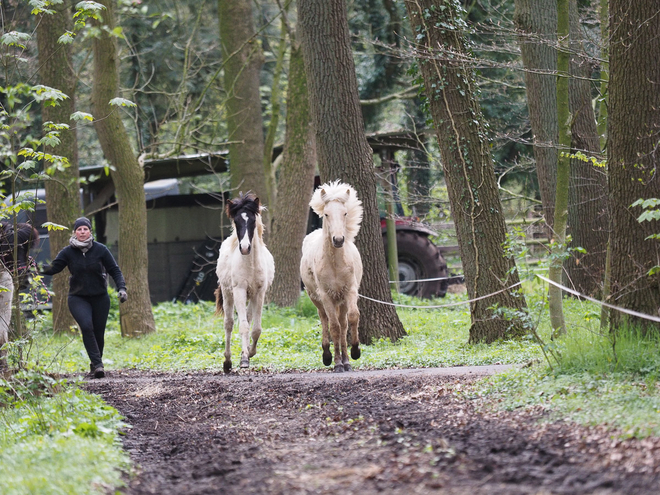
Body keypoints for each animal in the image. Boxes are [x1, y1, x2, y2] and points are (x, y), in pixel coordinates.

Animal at [215, 192, 274, 374]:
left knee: (247, 318)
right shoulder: (239, 291)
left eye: (253, 220)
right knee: (229, 324)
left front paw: (249, 353)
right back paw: (227, 362)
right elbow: (242, 327)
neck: (251, 264)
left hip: (252, 296)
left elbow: (256, 329)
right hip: (228, 294)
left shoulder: (260, 293)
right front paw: (244, 361)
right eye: (236, 221)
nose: (245, 248)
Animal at [302, 181, 364, 372]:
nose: (338, 240)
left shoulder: (350, 291)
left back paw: (346, 360)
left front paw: (354, 352)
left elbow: (352, 318)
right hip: (316, 299)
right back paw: (328, 356)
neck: (335, 264)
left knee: (344, 323)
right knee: (324, 320)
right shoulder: (326, 296)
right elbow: (334, 327)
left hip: (341, 300)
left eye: (345, 213)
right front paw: (336, 363)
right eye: (327, 214)